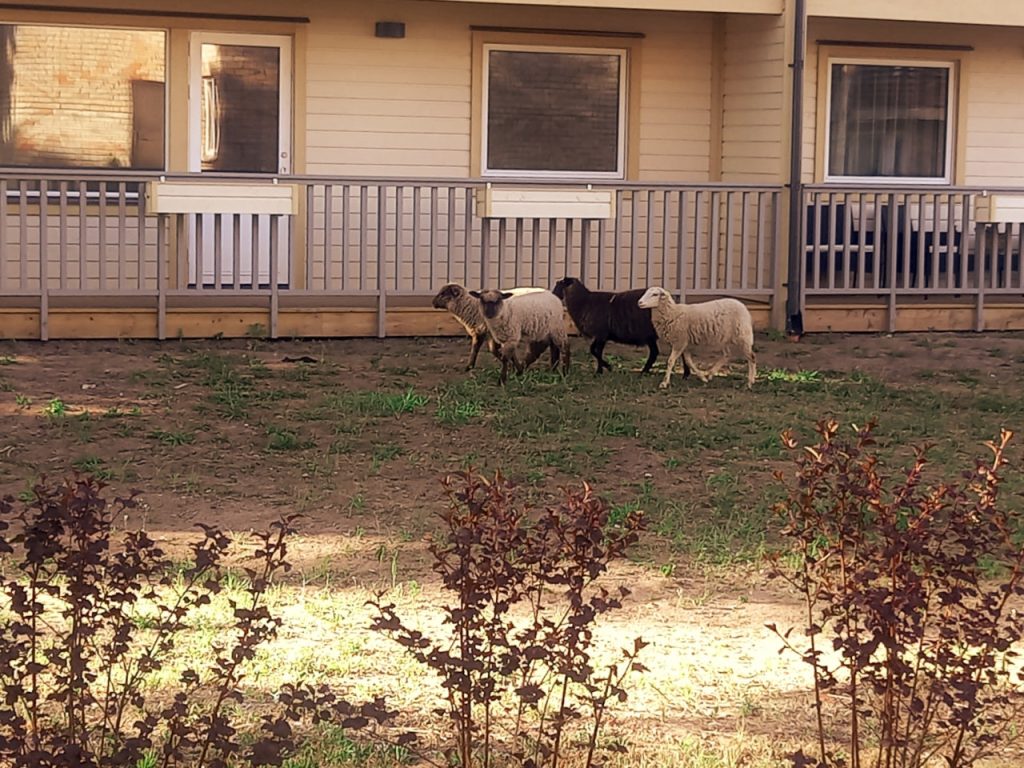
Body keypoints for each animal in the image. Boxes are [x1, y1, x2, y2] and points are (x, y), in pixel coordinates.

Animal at [552, 276, 689, 378]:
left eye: (560, 284)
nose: (552, 294)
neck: (583, 302)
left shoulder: (601, 334)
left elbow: (596, 351)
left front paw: (604, 369)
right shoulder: (602, 336)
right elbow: (594, 350)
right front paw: (602, 369)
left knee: (670, 351)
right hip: (652, 336)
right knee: (657, 352)